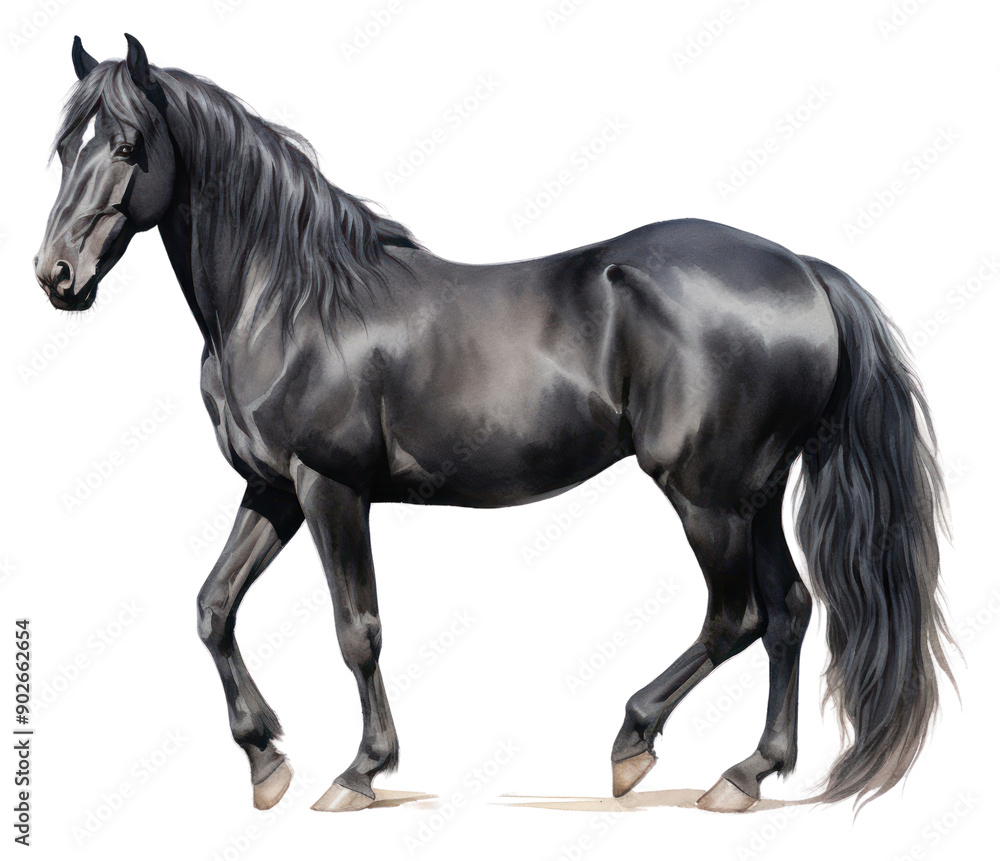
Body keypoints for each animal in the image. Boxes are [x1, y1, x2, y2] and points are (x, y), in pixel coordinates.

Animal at [35, 34, 954, 814]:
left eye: (127, 146)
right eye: (66, 148)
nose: (56, 274)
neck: (291, 300)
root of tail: (804, 270)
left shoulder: (330, 489)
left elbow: (357, 629)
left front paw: (360, 770)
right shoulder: (274, 490)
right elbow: (213, 607)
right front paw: (265, 759)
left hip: (706, 495)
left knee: (740, 617)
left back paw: (635, 741)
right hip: (753, 493)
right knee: (791, 611)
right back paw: (746, 773)